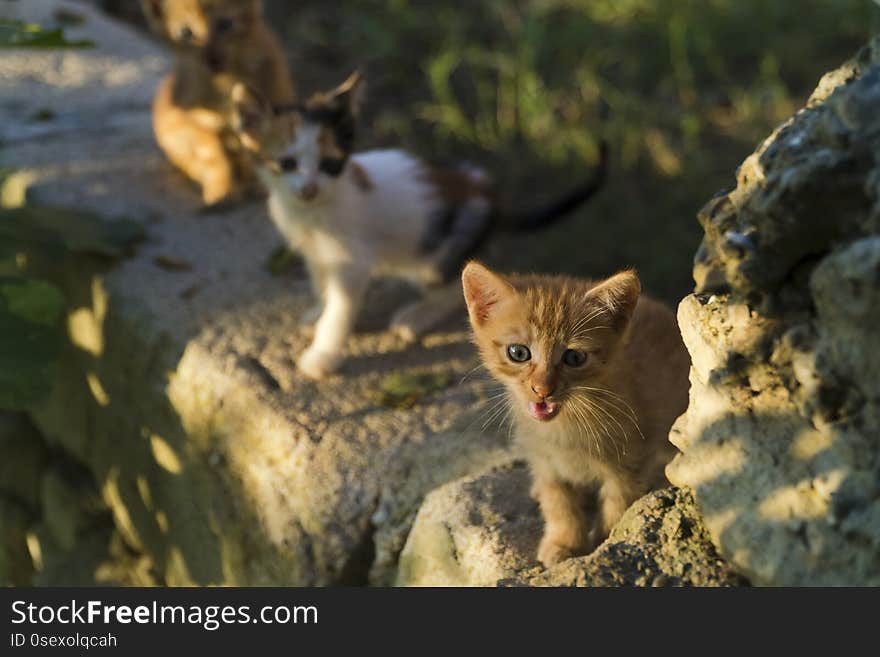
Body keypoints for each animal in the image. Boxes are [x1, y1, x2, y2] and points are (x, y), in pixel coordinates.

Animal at [139, 0, 294, 205]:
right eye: (186, 32)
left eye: (225, 24)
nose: (211, 60)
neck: (227, 84)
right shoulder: (198, 122)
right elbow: (213, 158)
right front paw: (222, 192)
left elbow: (258, 154)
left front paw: (261, 186)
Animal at [460, 260, 688, 564]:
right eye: (518, 353)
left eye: (574, 357)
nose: (542, 389)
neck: (565, 432)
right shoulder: (545, 461)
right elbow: (559, 504)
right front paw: (564, 542)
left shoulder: (630, 464)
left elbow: (617, 506)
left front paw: (604, 542)